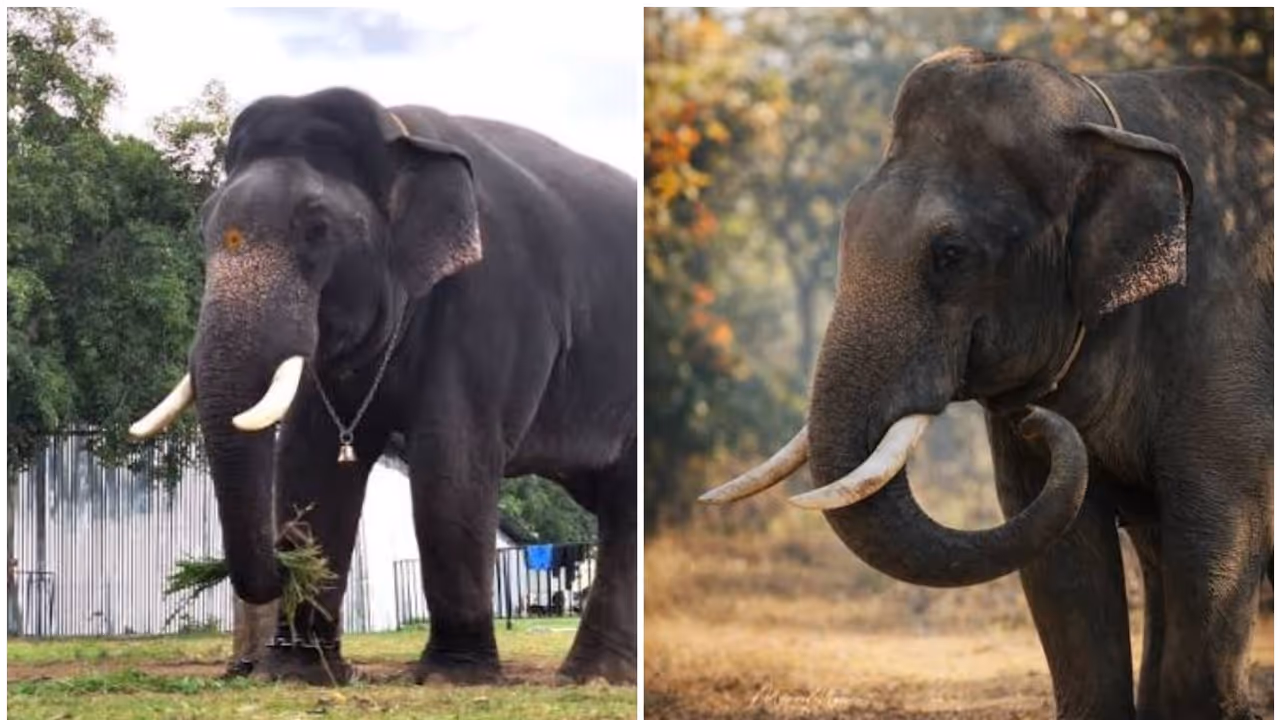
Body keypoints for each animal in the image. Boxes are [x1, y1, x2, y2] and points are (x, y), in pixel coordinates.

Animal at [131, 87, 636, 684]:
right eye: (203, 226)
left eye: (317, 229)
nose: (284, 559)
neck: (403, 135)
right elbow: (310, 459)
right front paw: (297, 671)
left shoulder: (495, 299)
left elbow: (451, 460)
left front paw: (450, 677)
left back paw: (592, 677)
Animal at [702, 48, 1272, 719]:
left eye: (950, 254)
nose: (1041, 423)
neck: (1100, 113)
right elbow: (1060, 560)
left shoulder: (1228, 335)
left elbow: (1221, 531)